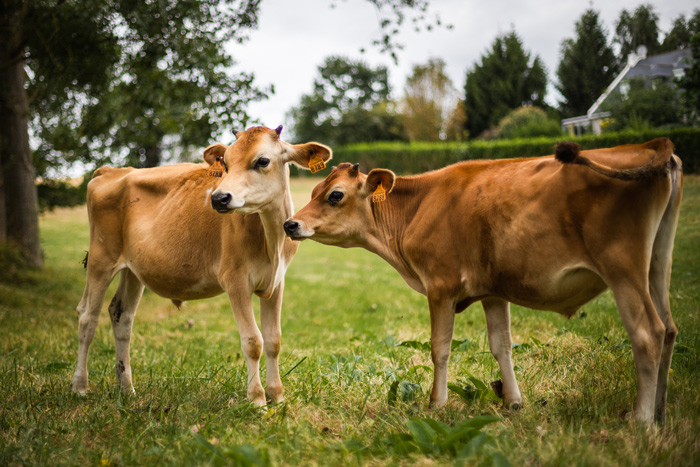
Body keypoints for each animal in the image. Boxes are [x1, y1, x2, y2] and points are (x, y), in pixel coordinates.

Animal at [72, 125, 332, 406]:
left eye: (262, 161)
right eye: (225, 163)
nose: (219, 198)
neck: (271, 240)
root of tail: (113, 170)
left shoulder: (276, 282)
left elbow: (274, 340)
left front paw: (277, 396)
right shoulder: (235, 279)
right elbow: (253, 341)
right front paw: (257, 399)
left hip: (133, 269)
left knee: (122, 316)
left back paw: (127, 388)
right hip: (101, 258)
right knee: (87, 317)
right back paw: (80, 386)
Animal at [284, 140, 684, 428]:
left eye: (335, 194)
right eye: (314, 189)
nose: (290, 223)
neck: (418, 208)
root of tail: (650, 144)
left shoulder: (440, 286)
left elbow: (440, 348)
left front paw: (437, 404)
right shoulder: (494, 291)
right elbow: (502, 345)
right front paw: (513, 401)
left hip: (622, 267)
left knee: (648, 333)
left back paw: (642, 420)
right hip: (658, 262)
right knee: (668, 329)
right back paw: (661, 412)